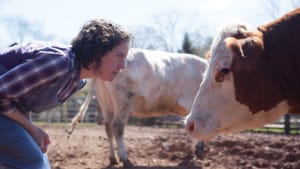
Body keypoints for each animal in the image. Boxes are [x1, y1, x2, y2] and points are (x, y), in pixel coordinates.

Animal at [69, 47, 207, 166]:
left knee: (108, 128)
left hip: (106, 103)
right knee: (117, 127)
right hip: (122, 101)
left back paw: (113, 158)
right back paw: (125, 158)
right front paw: (198, 150)